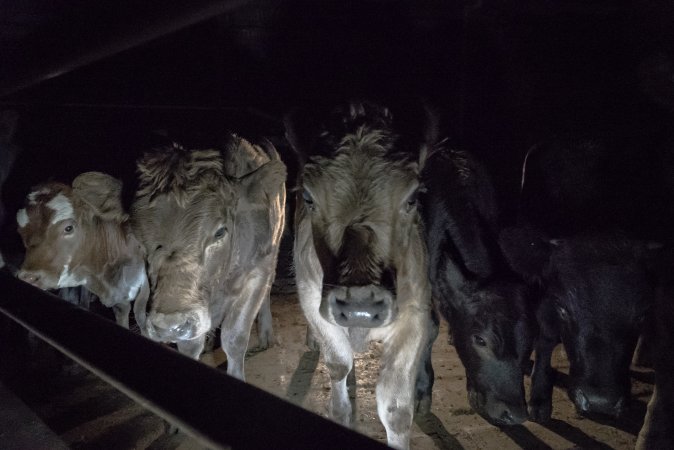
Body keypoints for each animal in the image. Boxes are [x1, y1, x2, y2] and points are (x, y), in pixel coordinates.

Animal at [130, 137, 284, 380]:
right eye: (138, 240)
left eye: (220, 232)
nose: (169, 326)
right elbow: (190, 345)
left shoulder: (258, 271)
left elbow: (234, 338)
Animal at [286, 102, 438, 450]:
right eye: (309, 197)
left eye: (412, 198)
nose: (360, 308)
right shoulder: (314, 301)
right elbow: (338, 365)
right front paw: (341, 410)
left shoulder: (415, 315)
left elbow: (396, 410)